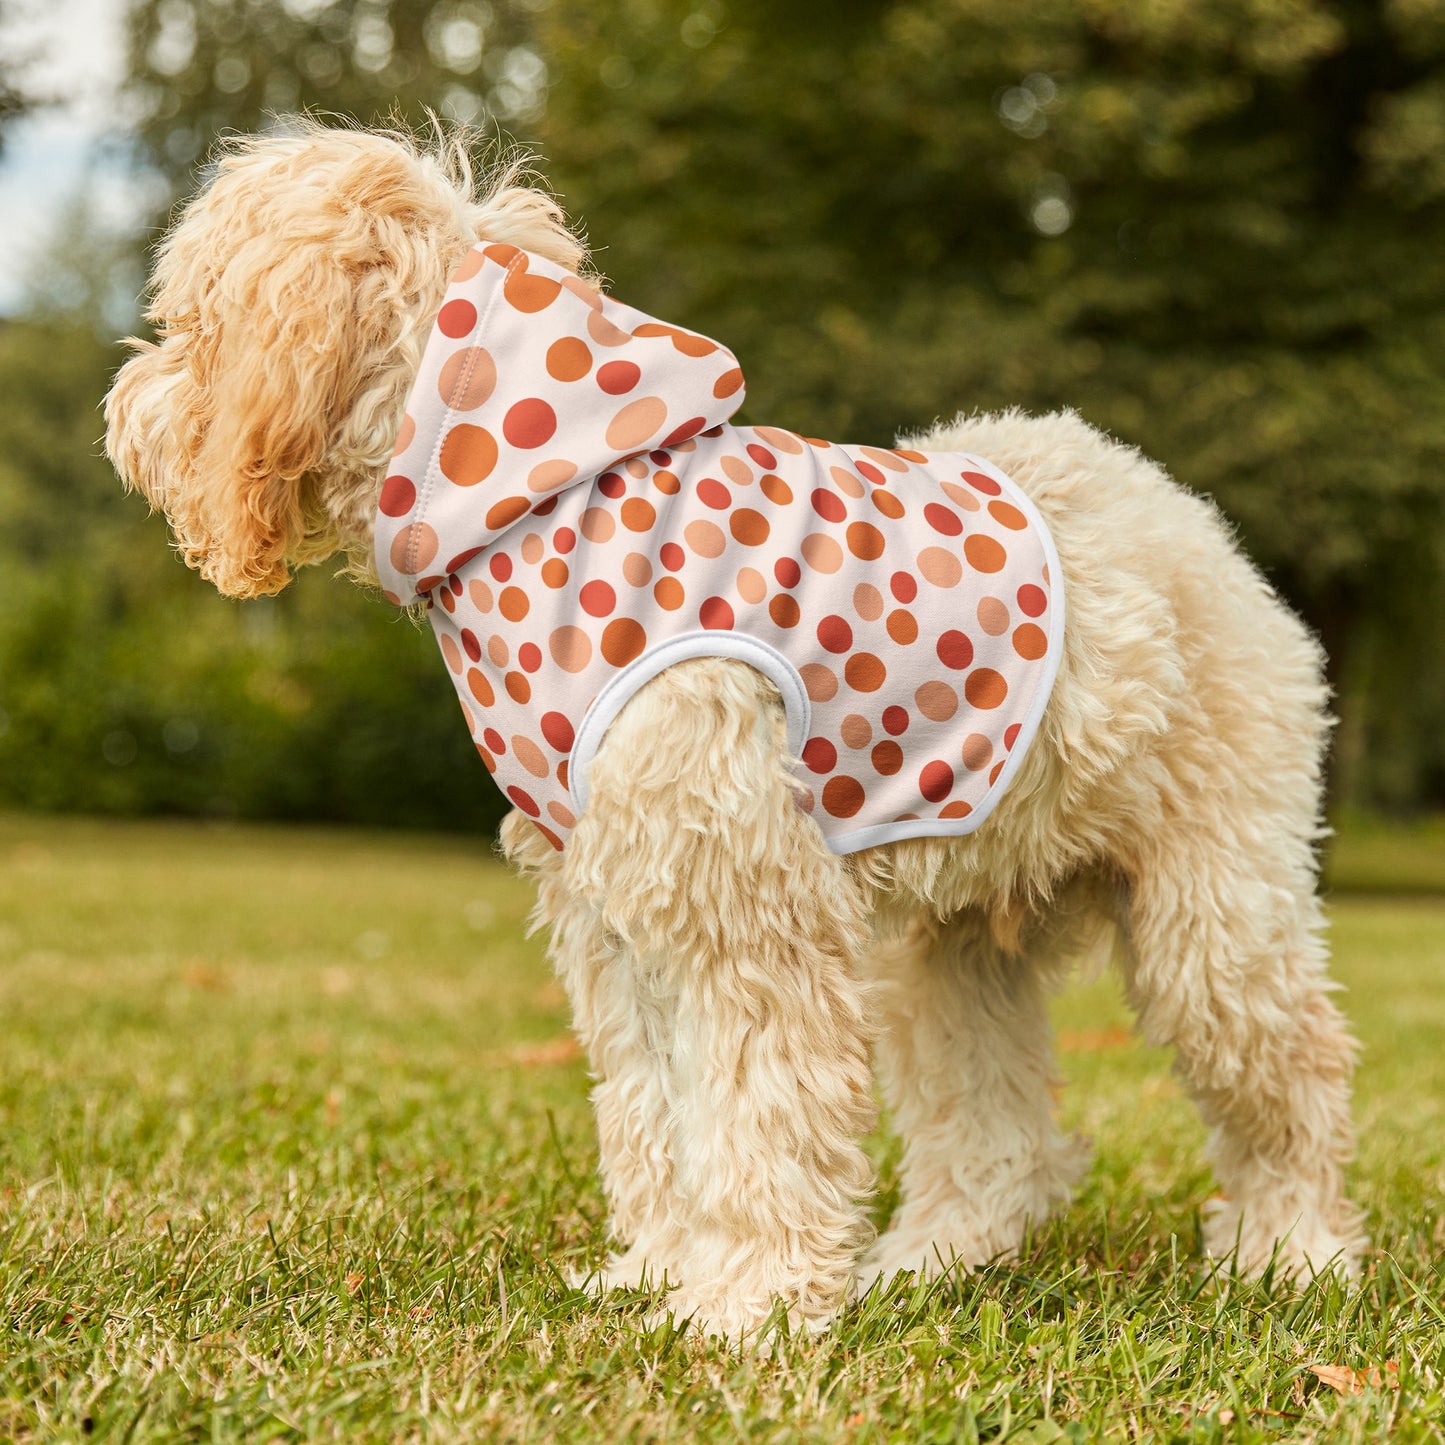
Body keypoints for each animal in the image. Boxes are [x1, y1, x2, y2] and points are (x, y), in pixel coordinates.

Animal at [104, 124, 1364, 1340]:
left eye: (190, 320)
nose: (123, 409)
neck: (539, 498)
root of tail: (1186, 517)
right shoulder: (616, 913)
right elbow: (655, 1112)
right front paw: (661, 1273)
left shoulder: (743, 908)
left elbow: (758, 1113)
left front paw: (747, 1305)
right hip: (948, 949)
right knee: (996, 1135)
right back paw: (927, 1261)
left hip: (1212, 914)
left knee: (1293, 1075)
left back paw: (1290, 1253)